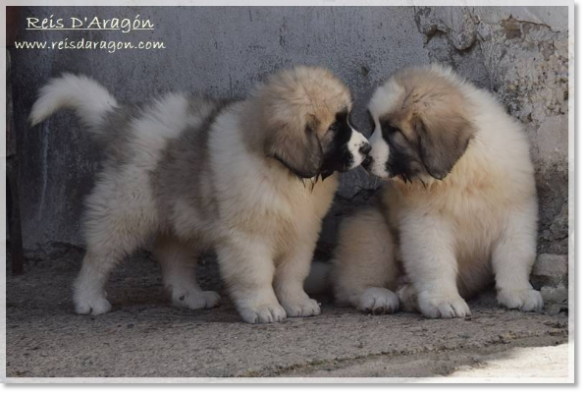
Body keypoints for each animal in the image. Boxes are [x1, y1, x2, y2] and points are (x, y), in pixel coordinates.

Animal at [30, 65, 370, 324]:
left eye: (349, 119)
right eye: (335, 127)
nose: (366, 148)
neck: (280, 171)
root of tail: (125, 121)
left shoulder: (301, 231)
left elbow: (292, 272)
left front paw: (297, 302)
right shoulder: (246, 237)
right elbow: (256, 274)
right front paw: (264, 307)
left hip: (180, 215)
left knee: (174, 257)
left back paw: (190, 296)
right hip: (125, 208)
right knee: (99, 256)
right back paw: (88, 299)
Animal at [330, 63, 540, 318]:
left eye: (392, 130)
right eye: (374, 126)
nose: (366, 159)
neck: (460, 171)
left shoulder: (516, 212)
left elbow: (516, 254)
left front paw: (519, 291)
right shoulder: (426, 223)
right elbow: (434, 261)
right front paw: (443, 300)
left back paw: (410, 295)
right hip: (369, 228)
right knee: (350, 285)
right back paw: (377, 296)